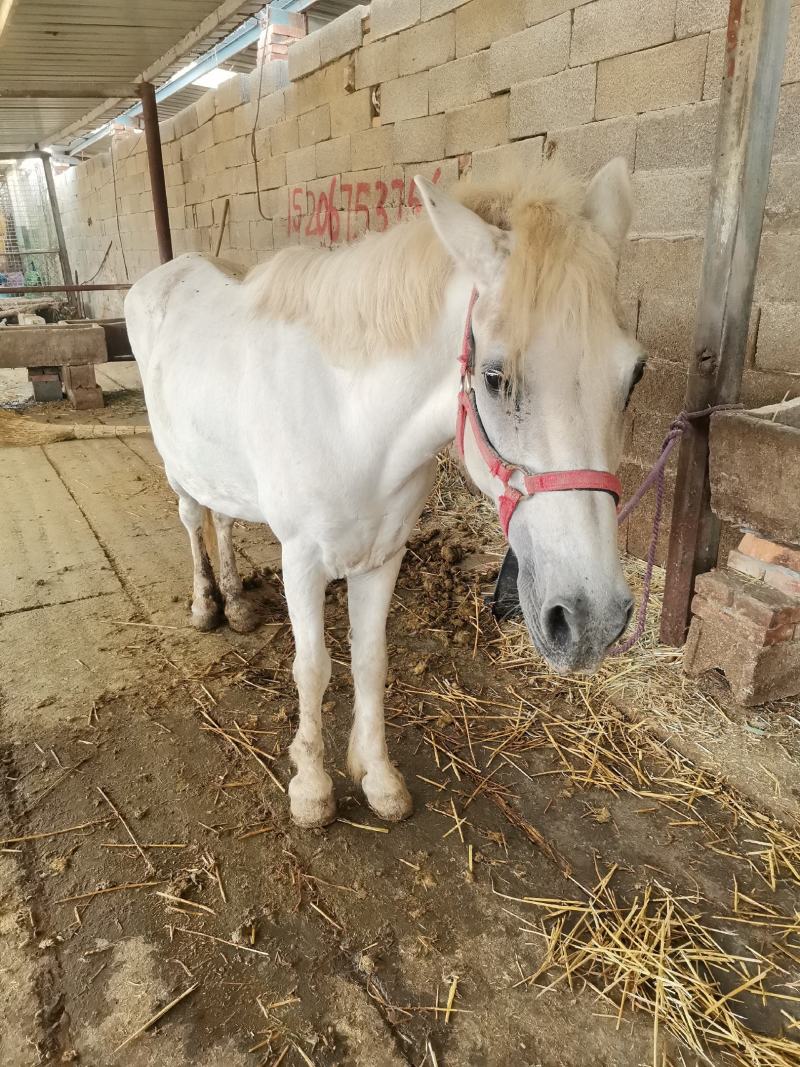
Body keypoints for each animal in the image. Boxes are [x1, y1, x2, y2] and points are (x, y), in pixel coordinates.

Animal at [125, 158, 645, 829]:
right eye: (494, 376)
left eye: (635, 374)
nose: (591, 619)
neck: (350, 420)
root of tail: (165, 274)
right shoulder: (302, 560)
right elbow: (313, 669)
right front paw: (312, 788)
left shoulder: (383, 555)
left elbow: (371, 662)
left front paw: (378, 779)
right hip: (177, 466)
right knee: (194, 520)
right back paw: (207, 605)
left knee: (226, 520)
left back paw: (238, 604)